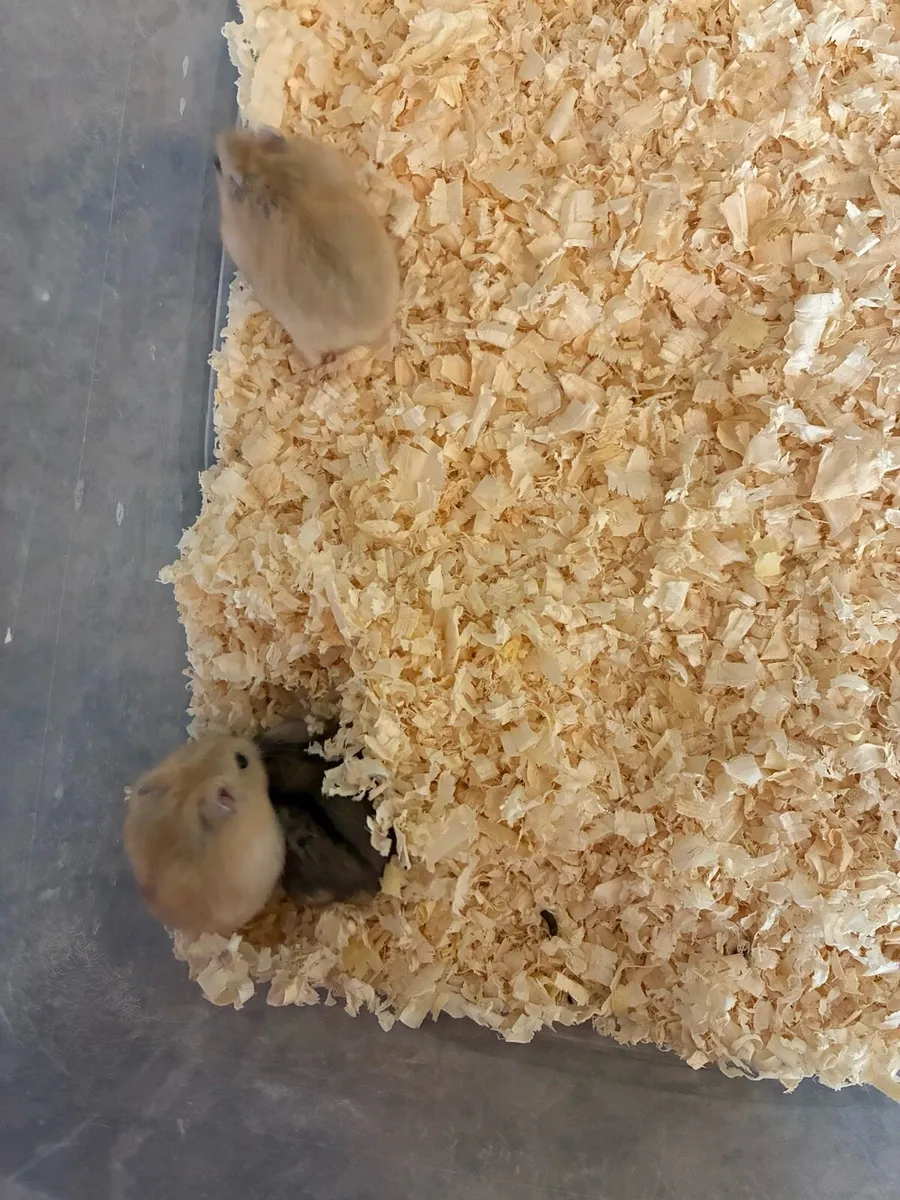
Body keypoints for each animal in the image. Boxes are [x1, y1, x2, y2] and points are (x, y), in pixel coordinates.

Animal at [214, 127, 400, 368]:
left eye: (217, 164)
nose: (220, 135)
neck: (262, 168)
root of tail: (374, 331)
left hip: (303, 336)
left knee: (314, 360)